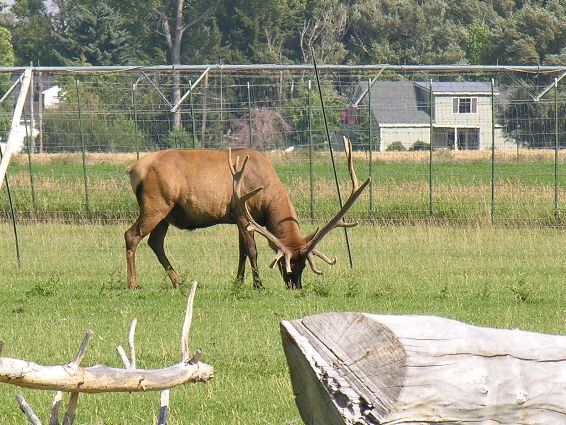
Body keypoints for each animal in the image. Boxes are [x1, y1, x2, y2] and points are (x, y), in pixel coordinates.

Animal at [125, 138, 370, 288]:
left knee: (155, 242)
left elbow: (241, 250)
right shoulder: (243, 213)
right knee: (132, 235)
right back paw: (133, 283)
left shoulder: (238, 218)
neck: (267, 197)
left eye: (303, 265)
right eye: (285, 263)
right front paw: (258, 284)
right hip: (155, 204)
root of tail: (133, 169)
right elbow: (252, 250)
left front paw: (239, 281)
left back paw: (178, 281)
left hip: (166, 213)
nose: (294, 285)